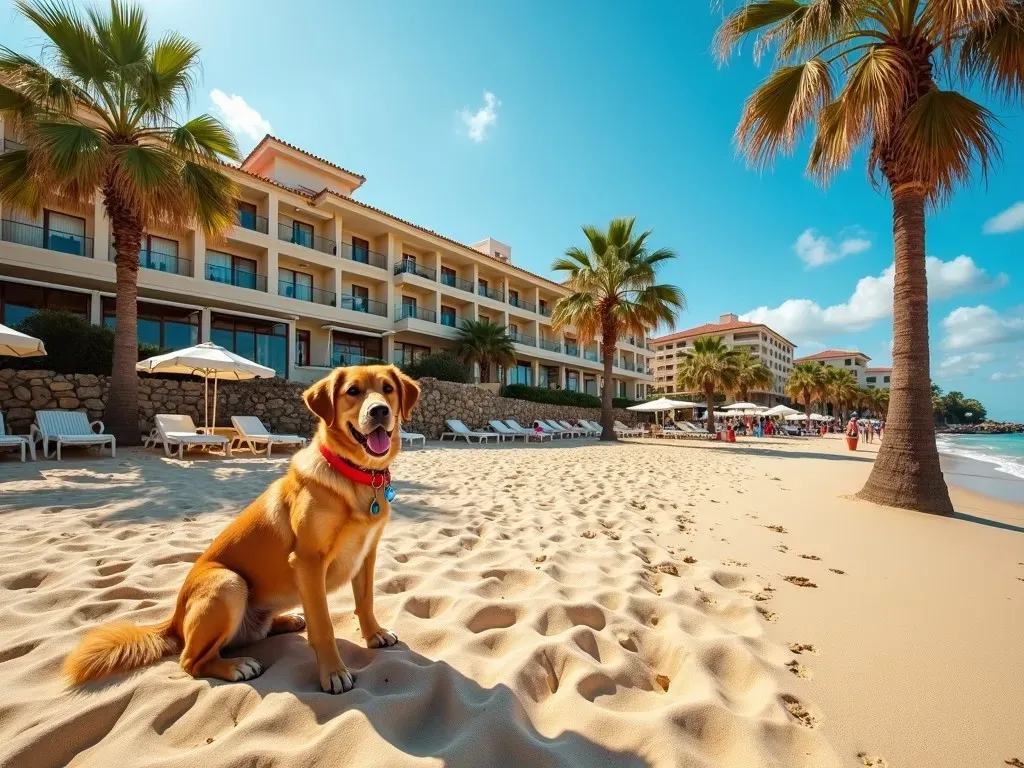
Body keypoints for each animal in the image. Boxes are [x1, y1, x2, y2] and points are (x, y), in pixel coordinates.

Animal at [62, 364, 419, 696]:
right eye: (353, 391)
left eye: (387, 389)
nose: (379, 411)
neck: (356, 476)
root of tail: (173, 620)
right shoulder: (308, 561)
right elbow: (324, 626)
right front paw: (332, 672)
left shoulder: (367, 554)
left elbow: (366, 601)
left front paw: (374, 634)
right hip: (229, 584)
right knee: (190, 661)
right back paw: (236, 667)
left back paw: (285, 621)